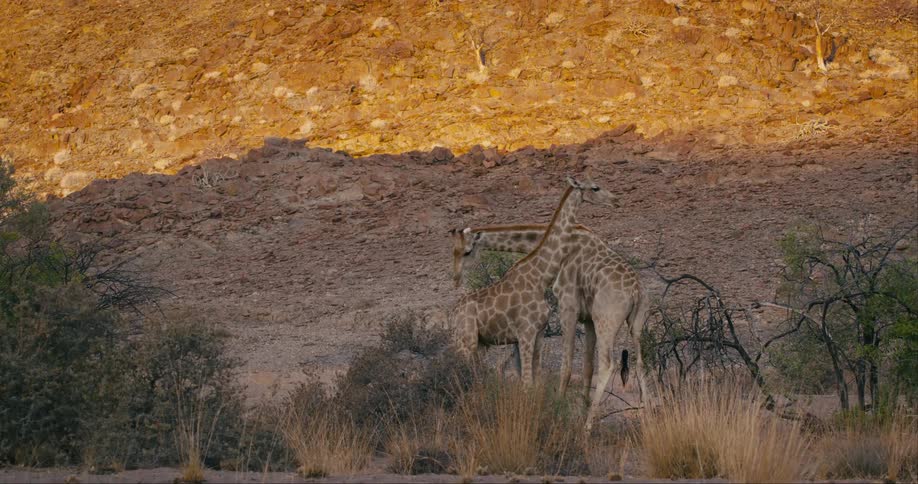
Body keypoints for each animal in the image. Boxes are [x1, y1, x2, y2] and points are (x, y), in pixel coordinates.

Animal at [450, 177, 617, 385]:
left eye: (467, 251)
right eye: (595, 188)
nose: (615, 200)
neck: (539, 277)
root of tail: (452, 315)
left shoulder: (538, 334)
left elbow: (536, 380)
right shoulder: (526, 333)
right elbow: (528, 382)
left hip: (479, 343)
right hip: (468, 341)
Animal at [450, 223, 651, 431]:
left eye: (467, 251)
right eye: (453, 250)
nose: (456, 279)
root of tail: (635, 291)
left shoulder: (568, 305)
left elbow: (566, 367)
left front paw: (560, 413)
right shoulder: (587, 318)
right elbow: (586, 368)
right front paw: (578, 412)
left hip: (606, 320)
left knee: (607, 364)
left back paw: (587, 427)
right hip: (636, 323)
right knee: (640, 363)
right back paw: (648, 420)